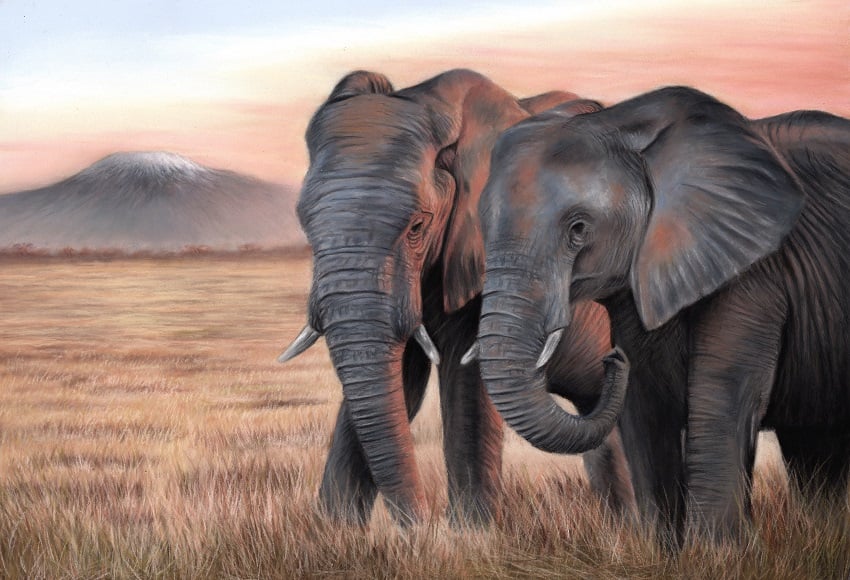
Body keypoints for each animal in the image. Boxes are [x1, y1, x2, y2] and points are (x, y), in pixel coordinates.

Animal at [278, 68, 635, 527]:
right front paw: (333, 531)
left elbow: (467, 391)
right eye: (305, 224)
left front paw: (472, 535)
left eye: (417, 226)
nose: (420, 525)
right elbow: (398, 384)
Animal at [471, 85, 850, 543]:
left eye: (578, 229)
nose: (611, 358)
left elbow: (721, 396)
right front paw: (662, 549)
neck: (623, 124)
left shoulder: (755, 272)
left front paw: (716, 553)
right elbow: (644, 403)